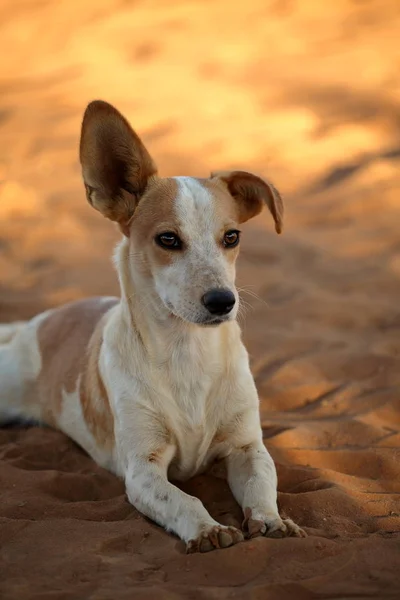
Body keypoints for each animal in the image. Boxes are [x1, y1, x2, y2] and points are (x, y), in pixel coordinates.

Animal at [0, 99, 304, 552]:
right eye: (168, 240)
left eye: (232, 237)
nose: (223, 301)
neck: (187, 353)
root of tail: (37, 322)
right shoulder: (143, 469)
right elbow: (184, 500)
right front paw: (208, 529)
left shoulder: (247, 446)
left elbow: (263, 483)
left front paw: (272, 521)